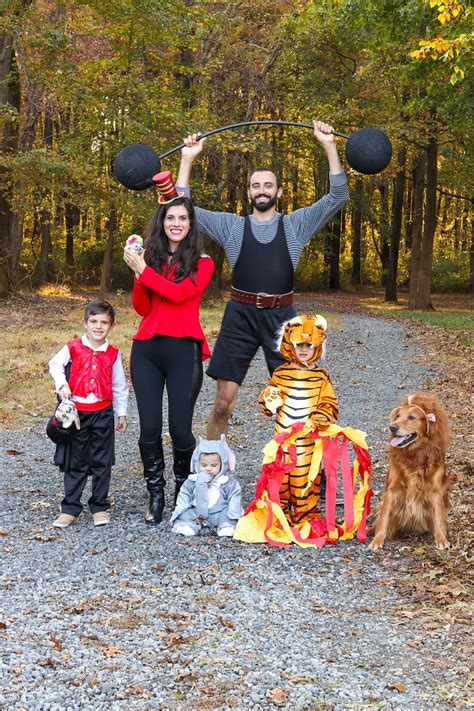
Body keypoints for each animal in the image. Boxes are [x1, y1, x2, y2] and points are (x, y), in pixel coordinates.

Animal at [368, 394, 450, 552]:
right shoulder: (392, 490)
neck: (415, 455)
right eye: (397, 416)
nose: (392, 427)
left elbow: (438, 517)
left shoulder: (435, 491)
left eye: (411, 417)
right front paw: (377, 540)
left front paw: (441, 538)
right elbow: (384, 517)